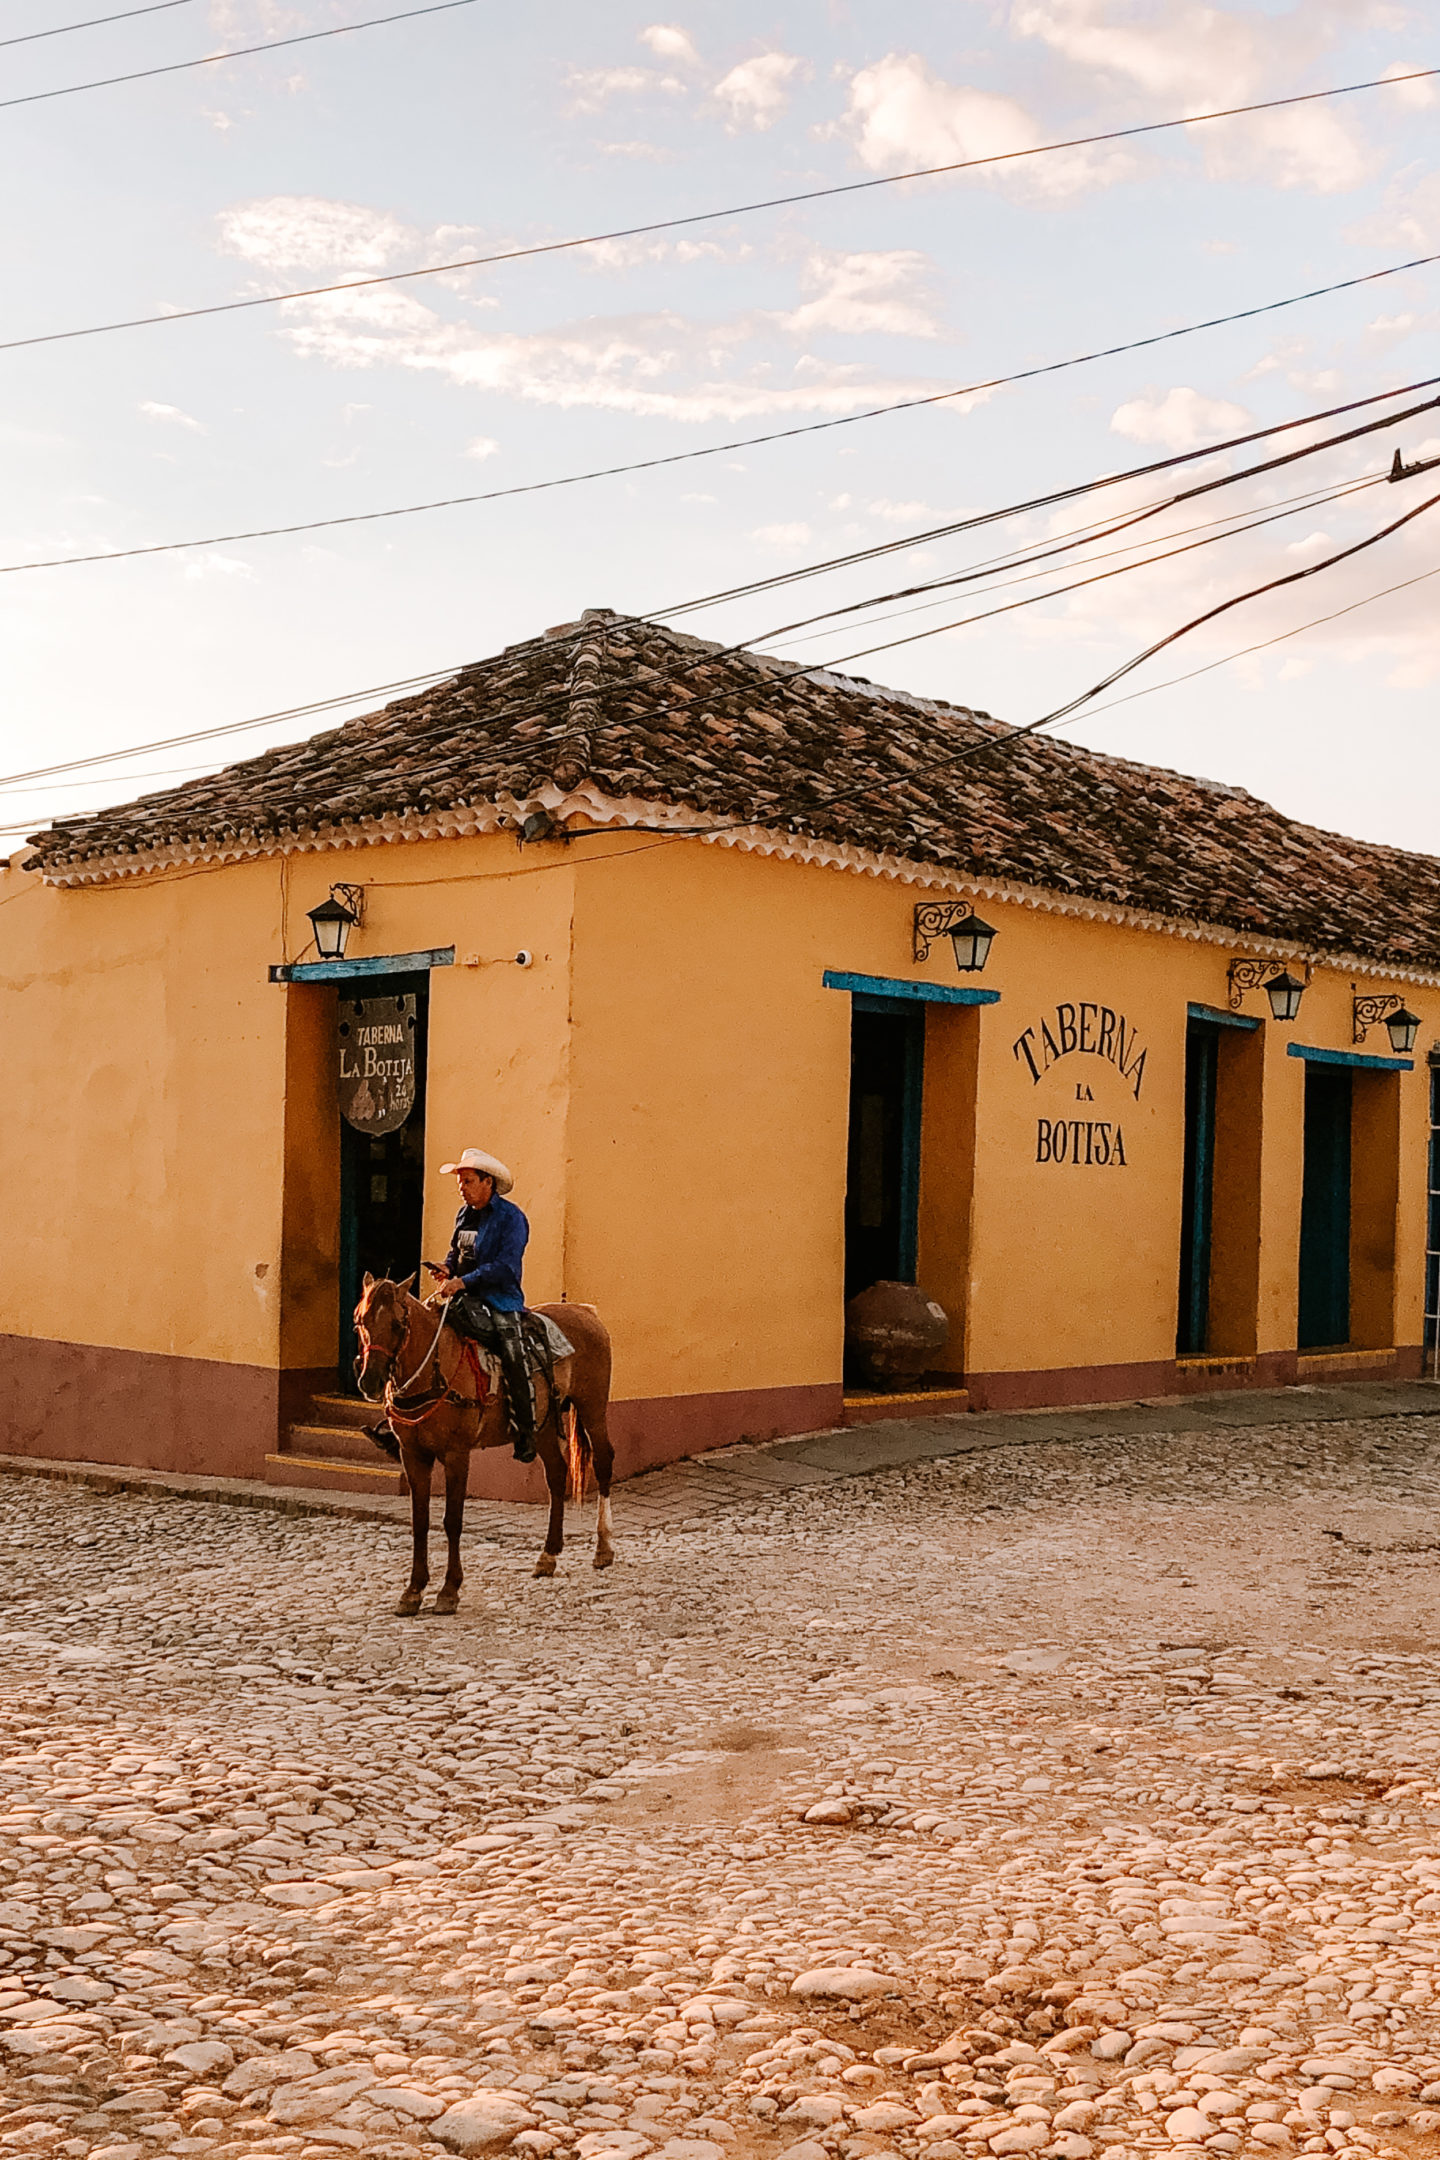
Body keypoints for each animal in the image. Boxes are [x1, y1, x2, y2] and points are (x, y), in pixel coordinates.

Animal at [358, 1270, 617, 1615]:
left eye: (398, 1324)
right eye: (360, 1322)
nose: (370, 1381)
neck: (435, 1369)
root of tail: (587, 1312)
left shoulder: (456, 1455)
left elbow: (452, 1521)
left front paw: (449, 1591)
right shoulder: (413, 1456)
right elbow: (420, 1521)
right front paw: (413, 1591)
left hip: (592, 1408)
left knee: (602, 1463)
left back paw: (603, 1548)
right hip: (543, 1425)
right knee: (557, 1474)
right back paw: (548, 1555)